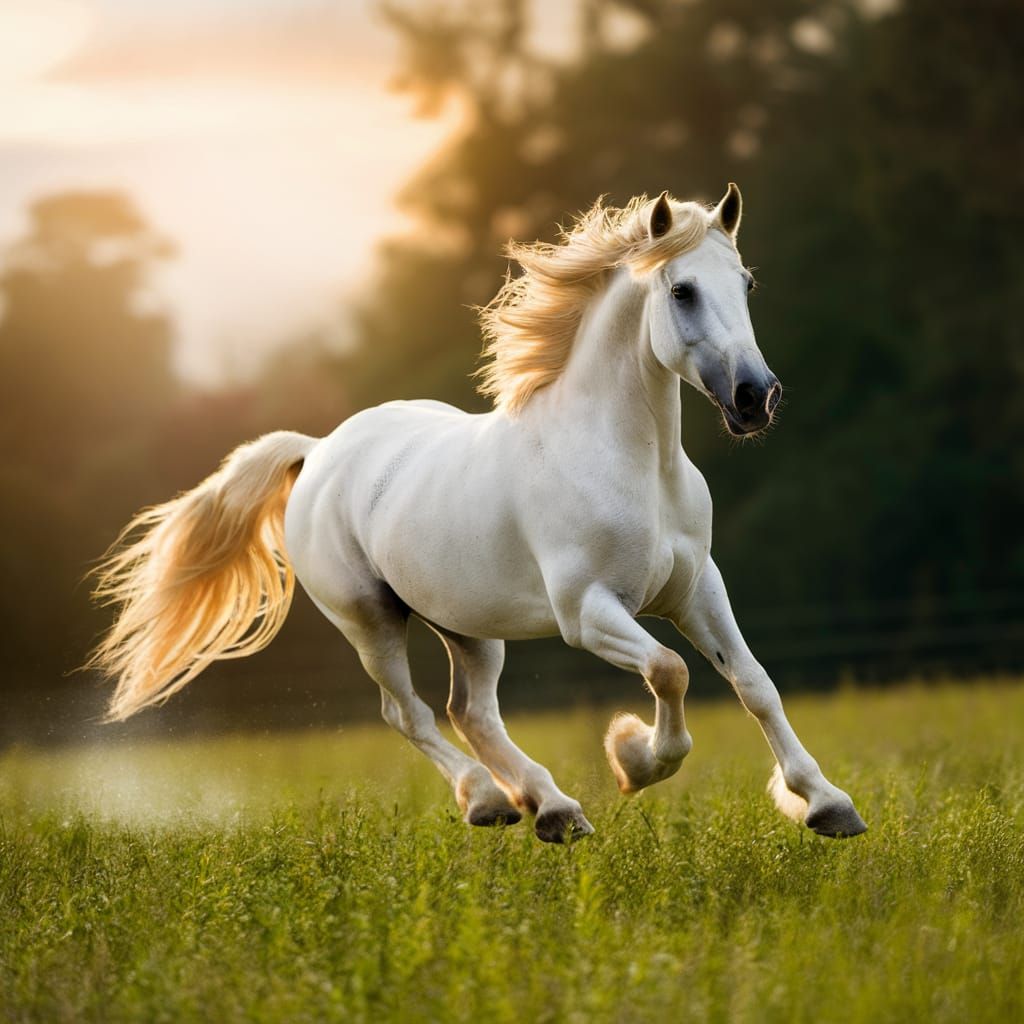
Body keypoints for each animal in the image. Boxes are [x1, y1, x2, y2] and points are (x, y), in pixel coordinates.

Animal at [90, 184, 867, 843]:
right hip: (370, 621)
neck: (635, 467)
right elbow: (670, 670)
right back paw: (497, 802)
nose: (755, 398)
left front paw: (827, 805)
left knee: (472, 711)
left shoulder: (696, 588)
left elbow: (754, 683)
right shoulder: (588, 611)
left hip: (466, 625)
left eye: (746, 284)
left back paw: (549, 809)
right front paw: (632, 757)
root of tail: (318, 452)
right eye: (682, 289)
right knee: (408, 713)